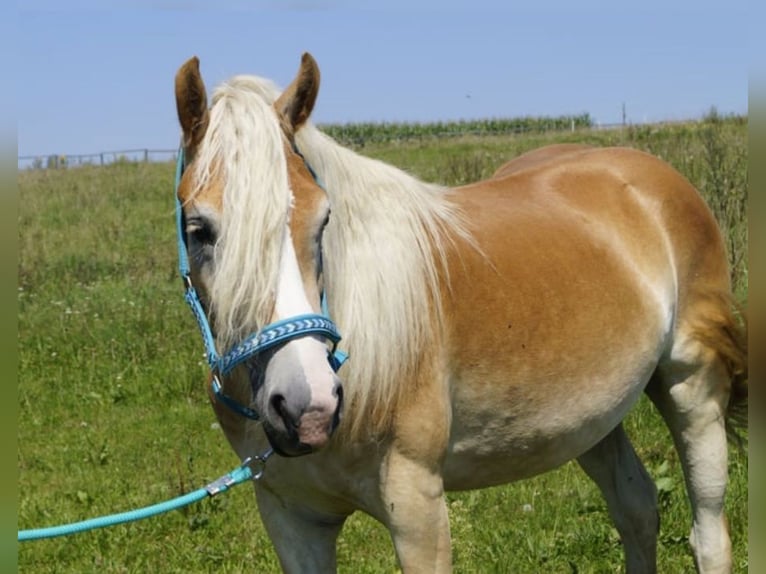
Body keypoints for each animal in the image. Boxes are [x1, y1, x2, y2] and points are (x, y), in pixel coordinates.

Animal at [174, 51, 752, 572]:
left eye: (324, 220)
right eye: (198, 230)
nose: (307, 407)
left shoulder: (417, 509)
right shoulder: (293, 517)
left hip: (691, 389)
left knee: (708, 534)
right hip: (594, 419)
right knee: (636, 508)